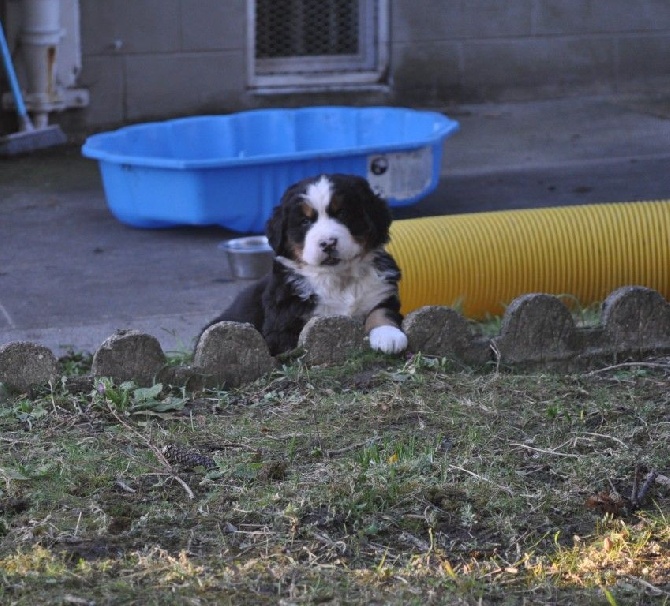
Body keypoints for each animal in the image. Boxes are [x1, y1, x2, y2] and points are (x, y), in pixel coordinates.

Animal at [200, 173, 410, 358]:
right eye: (305, 221)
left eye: (342, 214)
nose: (328, 243)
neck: (338, 278)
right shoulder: (283, 324)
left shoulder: (381, 292)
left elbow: (382, 312)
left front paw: (389, 336)